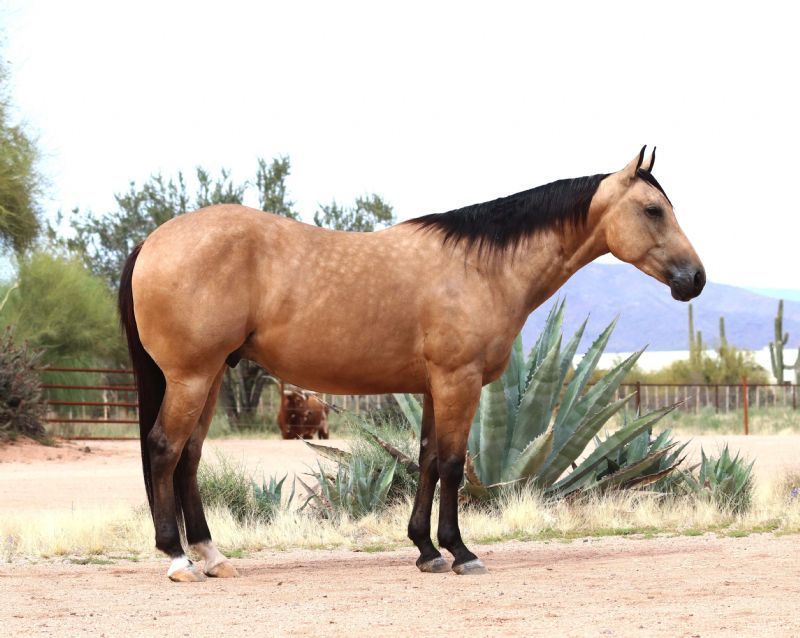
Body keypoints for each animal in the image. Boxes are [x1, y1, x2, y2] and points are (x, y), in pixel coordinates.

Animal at [118, 146, 705, 581]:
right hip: (192, 376)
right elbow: (451, 463)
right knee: (165, 449)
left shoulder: (430, 387)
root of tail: (152, 240)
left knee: (189, 457)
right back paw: (178, 558)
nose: (694, 279)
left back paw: (212, 555)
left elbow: (424, 459)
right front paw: (460, 552)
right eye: (653, 210)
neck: (482, 268)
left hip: (211, 375)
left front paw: (425, 550)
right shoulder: (458, 381)